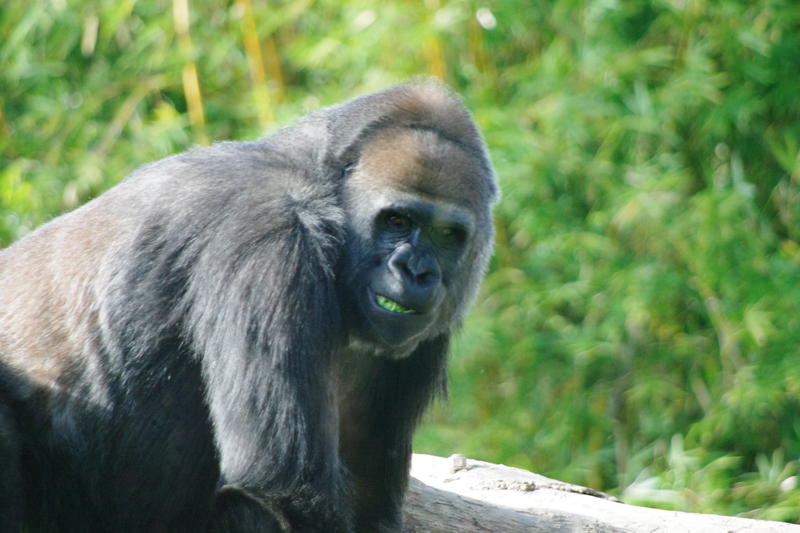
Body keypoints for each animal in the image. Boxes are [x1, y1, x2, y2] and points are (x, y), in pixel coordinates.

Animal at [0, 80, 496, 532]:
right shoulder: (269, 233)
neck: (327, 201)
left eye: (448, 235)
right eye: (397, 220)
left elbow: (367, 498)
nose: (416, 271)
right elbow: (282, 490)